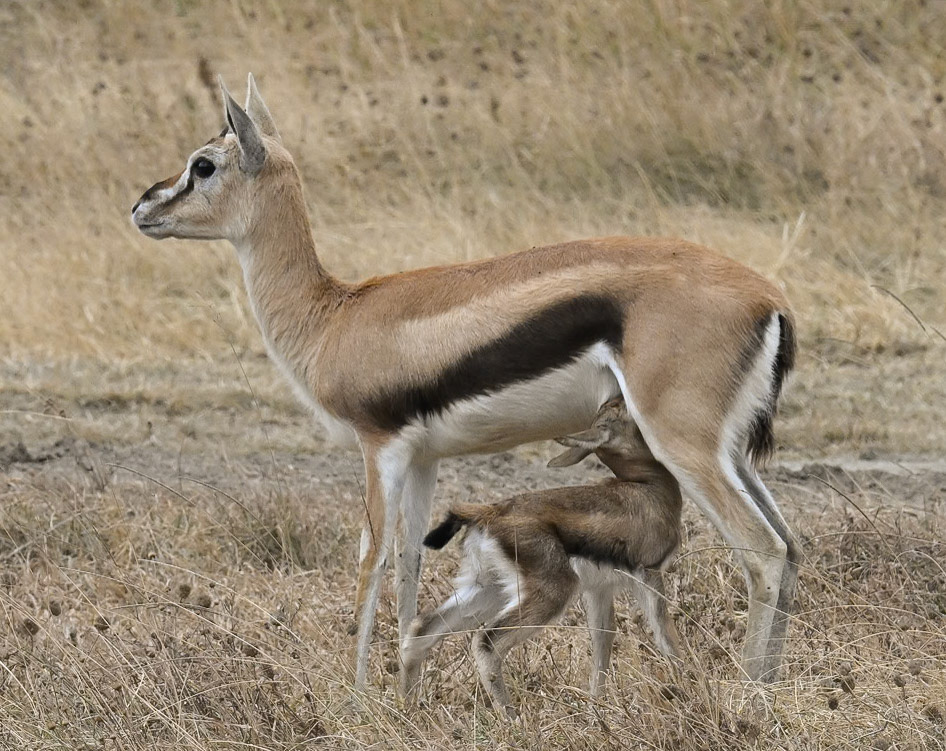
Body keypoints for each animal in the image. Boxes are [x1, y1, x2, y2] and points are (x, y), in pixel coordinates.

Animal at [401, 398, 683, 716]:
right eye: (616, 412)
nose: (619, 396)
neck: (648, 487)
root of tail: (490, 512)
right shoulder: (649, 573)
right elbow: (665, 634)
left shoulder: (600, 589)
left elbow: (602, 640)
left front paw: (595, 706)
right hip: (550, 593)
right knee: (487, 641)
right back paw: (510, 716)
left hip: (489, 589)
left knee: (422, 627)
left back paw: (407, 705)